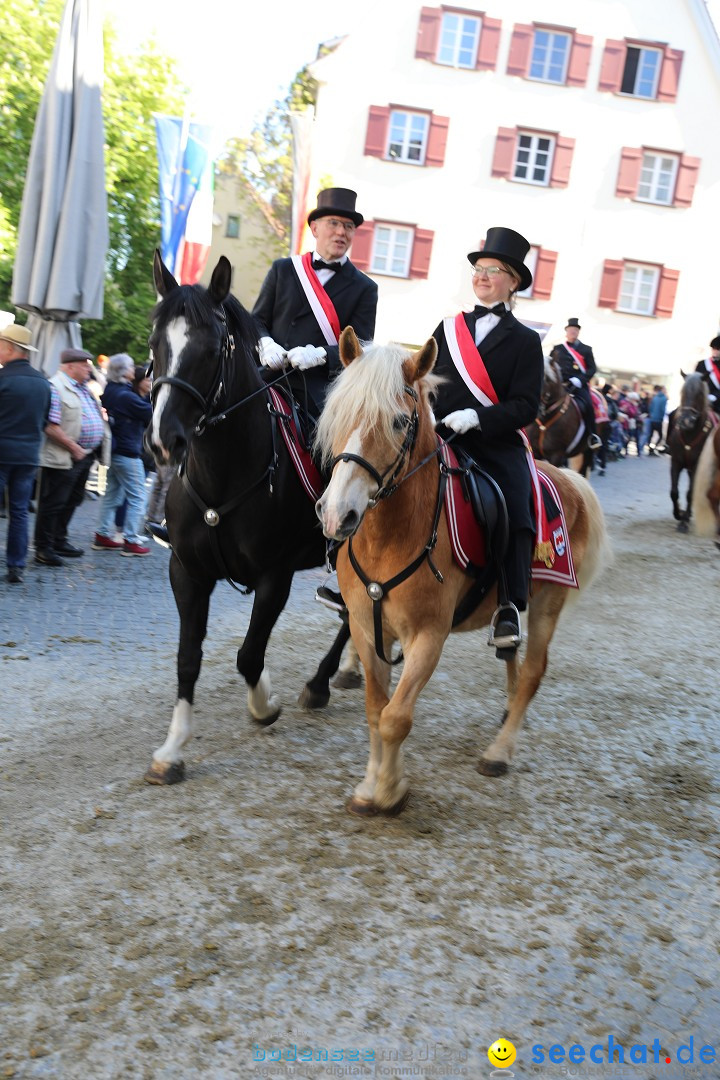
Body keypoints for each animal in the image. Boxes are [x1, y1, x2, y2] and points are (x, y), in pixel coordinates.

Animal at [143, 252, 351, 786]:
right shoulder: (187, 572)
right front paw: (172, 750)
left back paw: (322, 681)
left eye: (212, 347)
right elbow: (188, 658)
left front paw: (264, 706)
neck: (224, 470)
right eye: (155, 343)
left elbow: (249, 653)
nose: (163, 440)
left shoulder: (274, 575)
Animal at [317, 328, 613, 816]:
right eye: (337, 413)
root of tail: (568, 480)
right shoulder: (365, 627)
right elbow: (376, 711)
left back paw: (500, 751)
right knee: (511, 654)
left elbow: (396, 717)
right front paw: (371, 785)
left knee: (533, 671)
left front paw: (390, 791)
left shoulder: (427, 636)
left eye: (398, 422)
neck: (390, 536)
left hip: (549, 601)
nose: (337, 513)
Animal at [669, 373, 716, 533]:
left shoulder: (697, 466)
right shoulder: (676, 463)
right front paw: (678, 514)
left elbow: (690, 493)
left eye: (700, 394)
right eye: (683, 392)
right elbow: (674, 492)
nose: (686, 421)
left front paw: (683, 523)